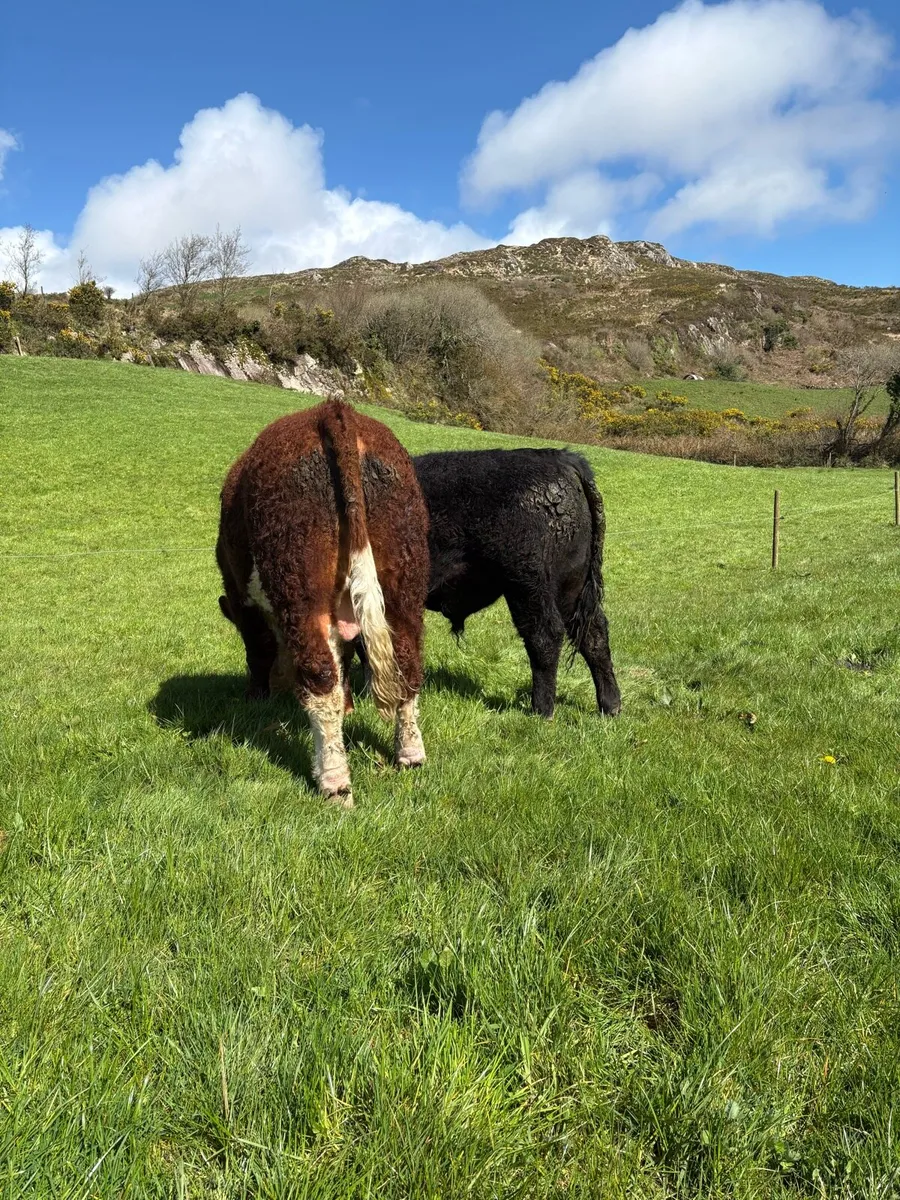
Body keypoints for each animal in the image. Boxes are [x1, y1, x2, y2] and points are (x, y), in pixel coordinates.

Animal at [216, 399, 429, 807]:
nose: (276, 687)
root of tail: (333, 410)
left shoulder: (244, 602)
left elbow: (258, 651)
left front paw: (256, 696)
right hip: (403, 588)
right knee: (407, 667)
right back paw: (410, 754)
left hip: (300, 588)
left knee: (320, 679)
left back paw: (335, 783)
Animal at [411, 448, 621, 719]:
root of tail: (562, 458)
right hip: (571, 588)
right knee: (593, 634)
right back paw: (610, 706)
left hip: (528, 586)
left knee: (545, 636)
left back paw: (542, 710)